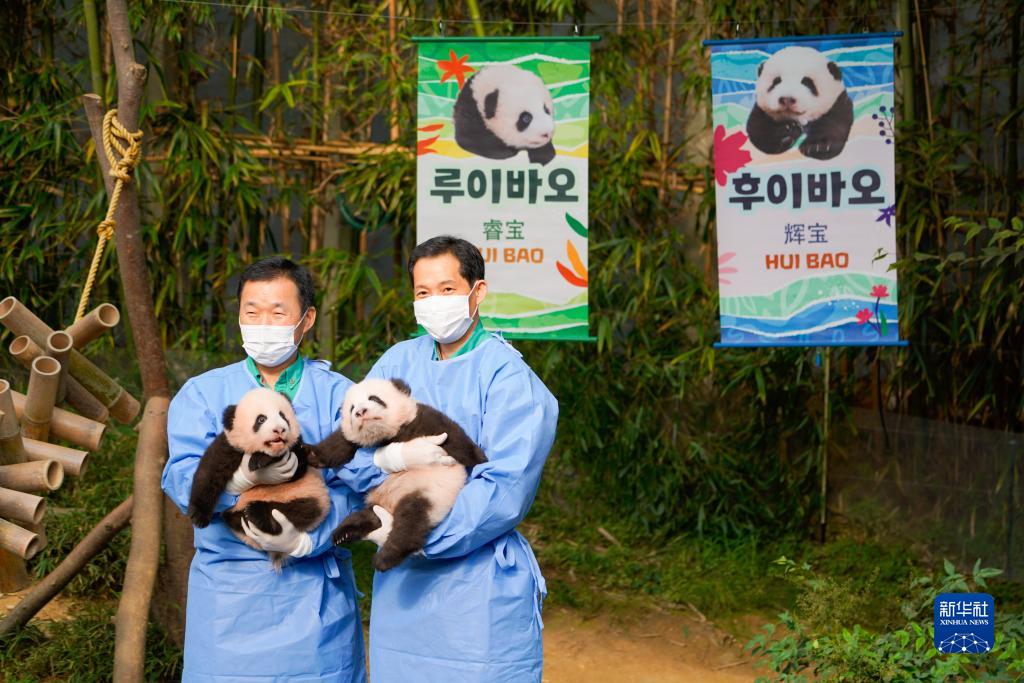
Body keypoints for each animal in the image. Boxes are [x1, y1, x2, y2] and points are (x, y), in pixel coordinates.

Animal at [186, 389, 325, 573]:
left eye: (283, 415)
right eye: (261, 419)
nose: (280, 429)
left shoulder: (298, 451)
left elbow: (298, 465)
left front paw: (260, 459)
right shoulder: (230, 446)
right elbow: (210, 471)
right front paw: (199, 516)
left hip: (309, 496)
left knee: (302, 510)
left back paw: (256, 513)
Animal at [305, 378, 485, 573]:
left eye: (374, 398)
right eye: (352, 408)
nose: (361, 412)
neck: (388, 436)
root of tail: (390, 508)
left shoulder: (422, 419)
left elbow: (455, 439)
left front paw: (480, 460)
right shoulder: (354, 442)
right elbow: (338, 444)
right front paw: (309, 453)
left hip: (428, 494)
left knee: (410, 523)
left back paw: (386, 557)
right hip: (377, 504)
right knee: (367, 517)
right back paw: (344, 532)